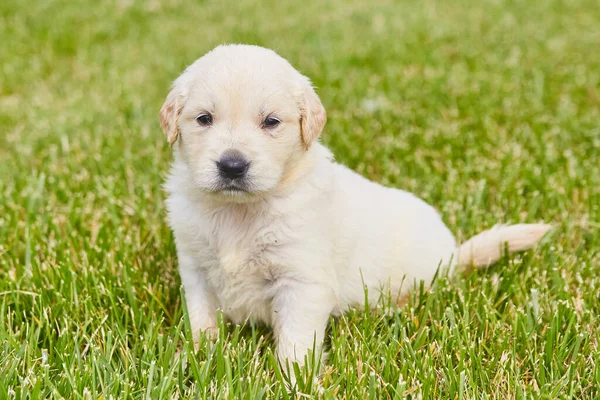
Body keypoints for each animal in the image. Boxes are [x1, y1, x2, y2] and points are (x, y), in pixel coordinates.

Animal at [158, 45, 548, 376]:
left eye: (270, 122)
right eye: (204, 118)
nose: (232, 166)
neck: (238, 211)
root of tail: (454, 255)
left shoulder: (302, 281)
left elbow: (296, 341)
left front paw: (294, 381)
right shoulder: (196, 270)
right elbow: (202, 320)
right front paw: (200, 356)